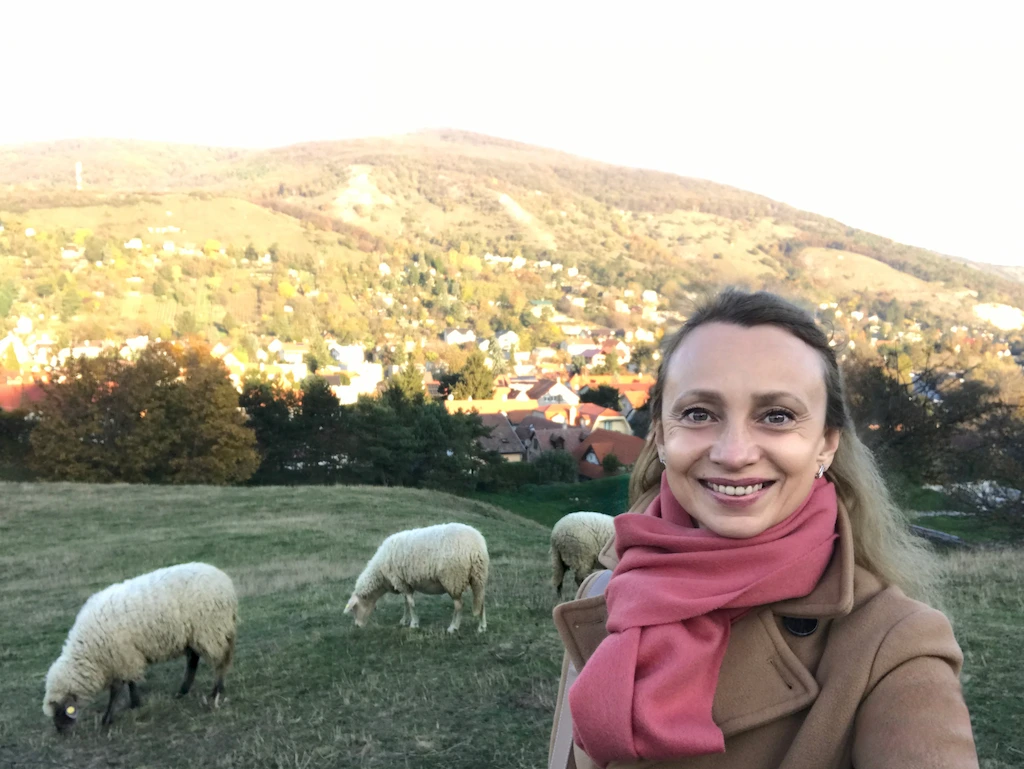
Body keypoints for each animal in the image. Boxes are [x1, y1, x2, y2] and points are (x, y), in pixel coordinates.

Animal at [42, 561, 237, 733]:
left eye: (62, 710)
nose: (60, 731)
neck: (88, 653)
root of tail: (225, 581)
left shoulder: (120, 655)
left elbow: (116, 689)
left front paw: (108, 718)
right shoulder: (128, 655)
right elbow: (131, 681)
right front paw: (135, 703)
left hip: (210, 630)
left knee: (220, 660)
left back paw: (216, 690)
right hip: (195, 634)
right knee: (194, 660)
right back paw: (182, 691)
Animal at [344, 528, 487, 634]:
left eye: (354, 608)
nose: (357, 626)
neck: (381, 575)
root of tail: (477, 547)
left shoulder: (401, 582)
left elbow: (411, 604)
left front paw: (414, 623)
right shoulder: (404, 583)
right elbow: (406, 603)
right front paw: (404, 620)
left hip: (453, 579)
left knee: (459, 605)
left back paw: (453, 627)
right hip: (478, 577)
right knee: (480, 601)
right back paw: (482, 627)